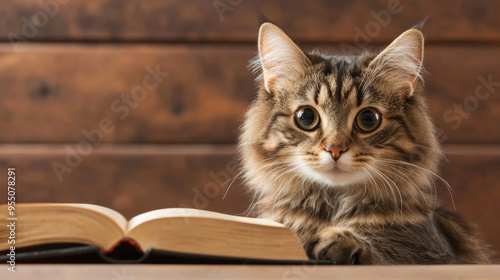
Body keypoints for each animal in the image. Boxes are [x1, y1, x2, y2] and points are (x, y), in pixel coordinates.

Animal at [239, 22, 492, 264]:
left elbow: (386, 253)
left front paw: (340, 240)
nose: (335, 149)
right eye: (307, 117)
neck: (333, 206)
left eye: (368, 119)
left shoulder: (435, 254)